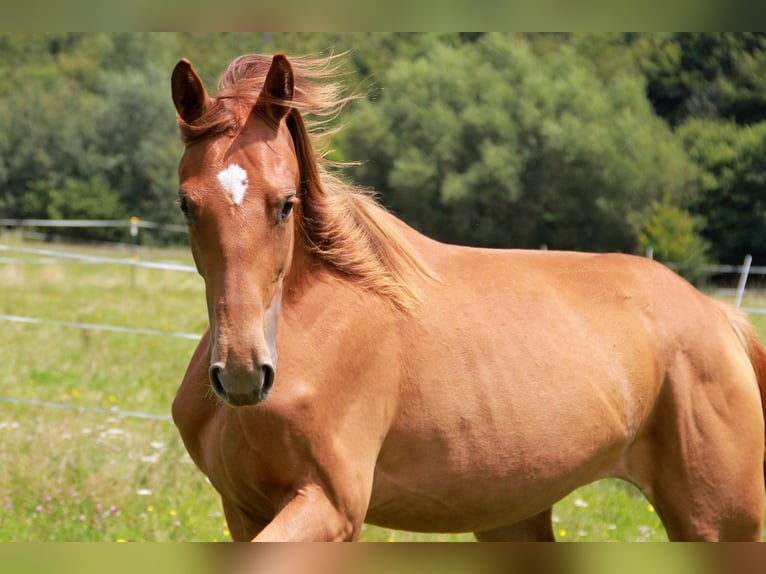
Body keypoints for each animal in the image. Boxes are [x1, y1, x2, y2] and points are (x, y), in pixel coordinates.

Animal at [170, 51, 766, 544]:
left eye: (286, 203)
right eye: (186, 205)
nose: (243, 374)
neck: (316, 324)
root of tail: (720, 317)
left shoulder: (331, 508)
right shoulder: (244, 510)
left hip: (717, 522)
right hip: (515, 517)